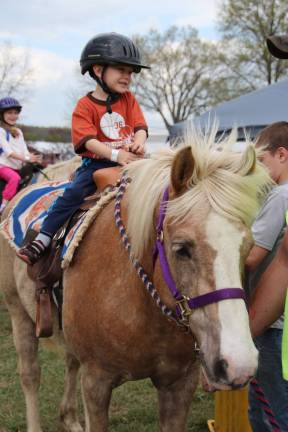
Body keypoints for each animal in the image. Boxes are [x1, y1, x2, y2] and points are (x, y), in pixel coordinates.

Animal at [0, 129, 272, 432]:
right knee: (30, 375)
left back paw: (69, 418)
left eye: (247, 247)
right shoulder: (96, 382)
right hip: (19, 313)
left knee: (70, 361)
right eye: (182, 249)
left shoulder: (180, 383)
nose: (239, 365)